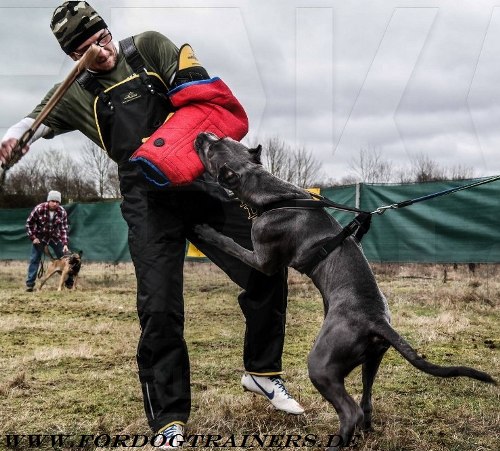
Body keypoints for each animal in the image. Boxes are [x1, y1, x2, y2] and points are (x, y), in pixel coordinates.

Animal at [193, 132, 494, 450]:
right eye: (222, 138)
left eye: (212, 148)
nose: (201, 135)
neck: (270, 191)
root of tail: (376, 321)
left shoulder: (263, 260)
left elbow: (231, 244)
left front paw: (206, 231)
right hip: (371, 361)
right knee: (366, 403)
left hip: (321, 365)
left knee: (350, 411)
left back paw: (337, 441)